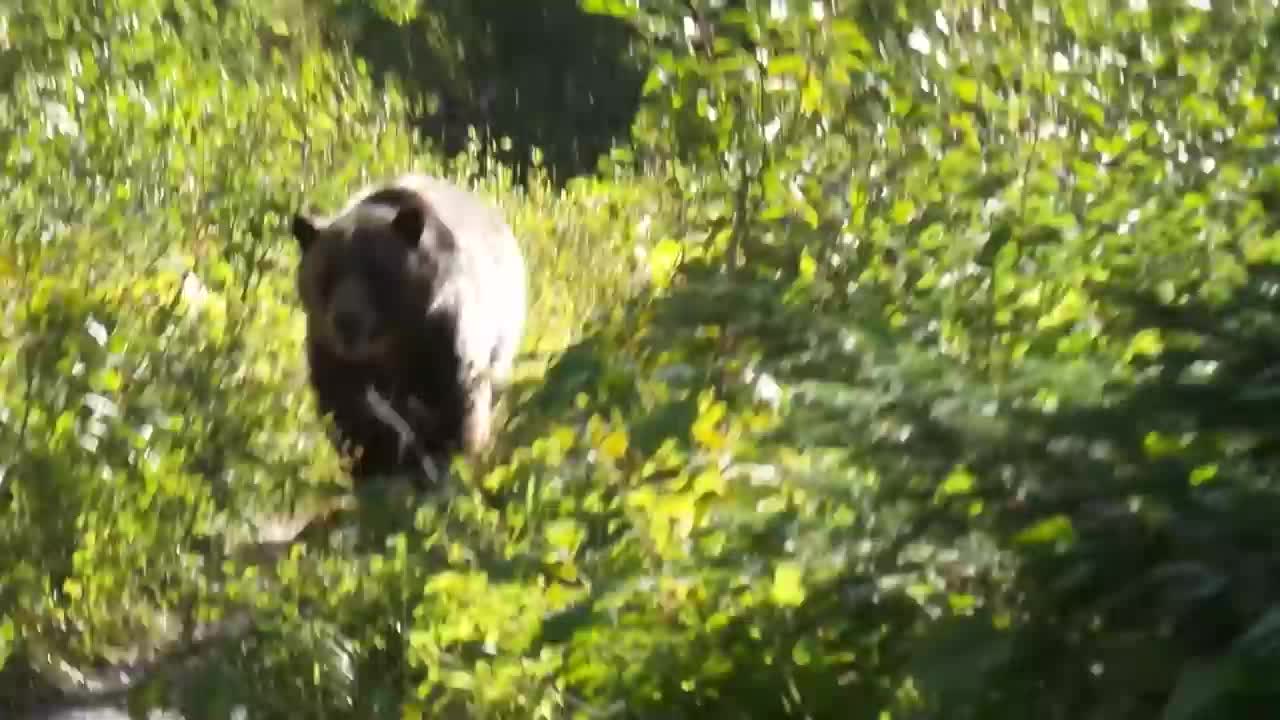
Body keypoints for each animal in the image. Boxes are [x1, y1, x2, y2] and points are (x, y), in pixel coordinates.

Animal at [290, 174, 524, 486]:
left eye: (376, 272)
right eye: (328, 274)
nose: (347, 320)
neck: (389, 344)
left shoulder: (440, 332)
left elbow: (455, 402)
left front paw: (445, 463)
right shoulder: (330, 352)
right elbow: (346, 409)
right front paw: (371, 465)